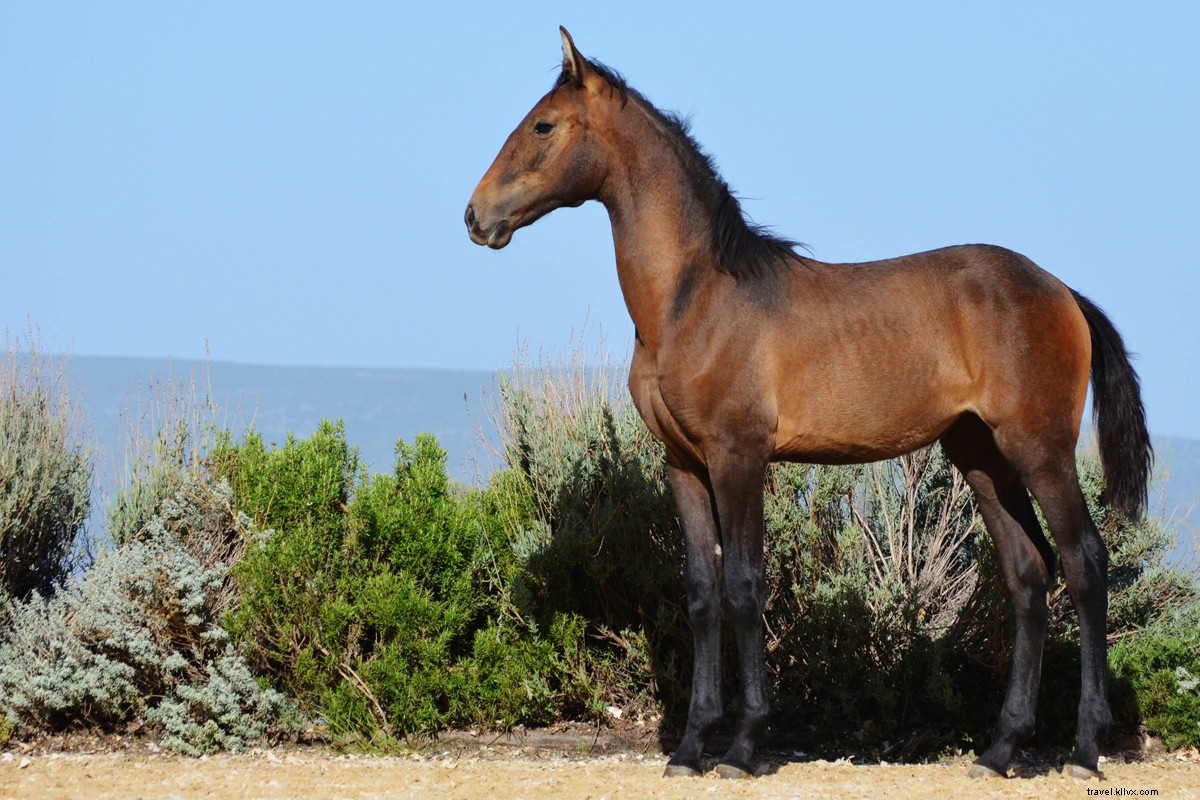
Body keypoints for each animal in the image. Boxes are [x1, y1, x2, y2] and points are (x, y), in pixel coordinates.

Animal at [465, 27, 1151, 781]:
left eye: (543, 125)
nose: (476, 215)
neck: (693, 299)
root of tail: (1062, 291)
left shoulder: (739, 458)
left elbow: (743, 585)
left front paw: (741, 746)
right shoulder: (683, 464)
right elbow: (701, 593)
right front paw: (690, 747)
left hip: (1040, 450)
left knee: (1085, 563)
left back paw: (1084, 749)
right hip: (981, 456)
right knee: (1029, 575)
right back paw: (999, 749)